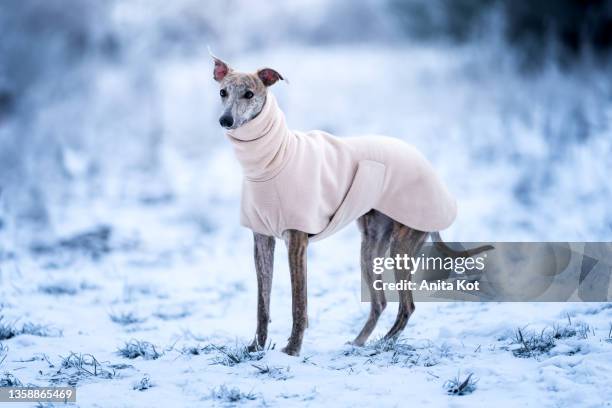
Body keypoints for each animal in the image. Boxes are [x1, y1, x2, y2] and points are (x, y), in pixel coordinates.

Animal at [213, 55, 490, 356]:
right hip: (370, 246)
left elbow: (299, 304)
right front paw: (256, 347)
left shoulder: (297, 242)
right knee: (380, 301)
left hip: (401, 245)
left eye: (249, 94)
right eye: (223, 92)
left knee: (407, 305)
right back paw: (359, 342)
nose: (225, 120)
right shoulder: (262, 239)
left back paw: (383, 343)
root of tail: (427, 165)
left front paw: (292, 350)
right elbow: (262, 304)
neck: (272, 158)